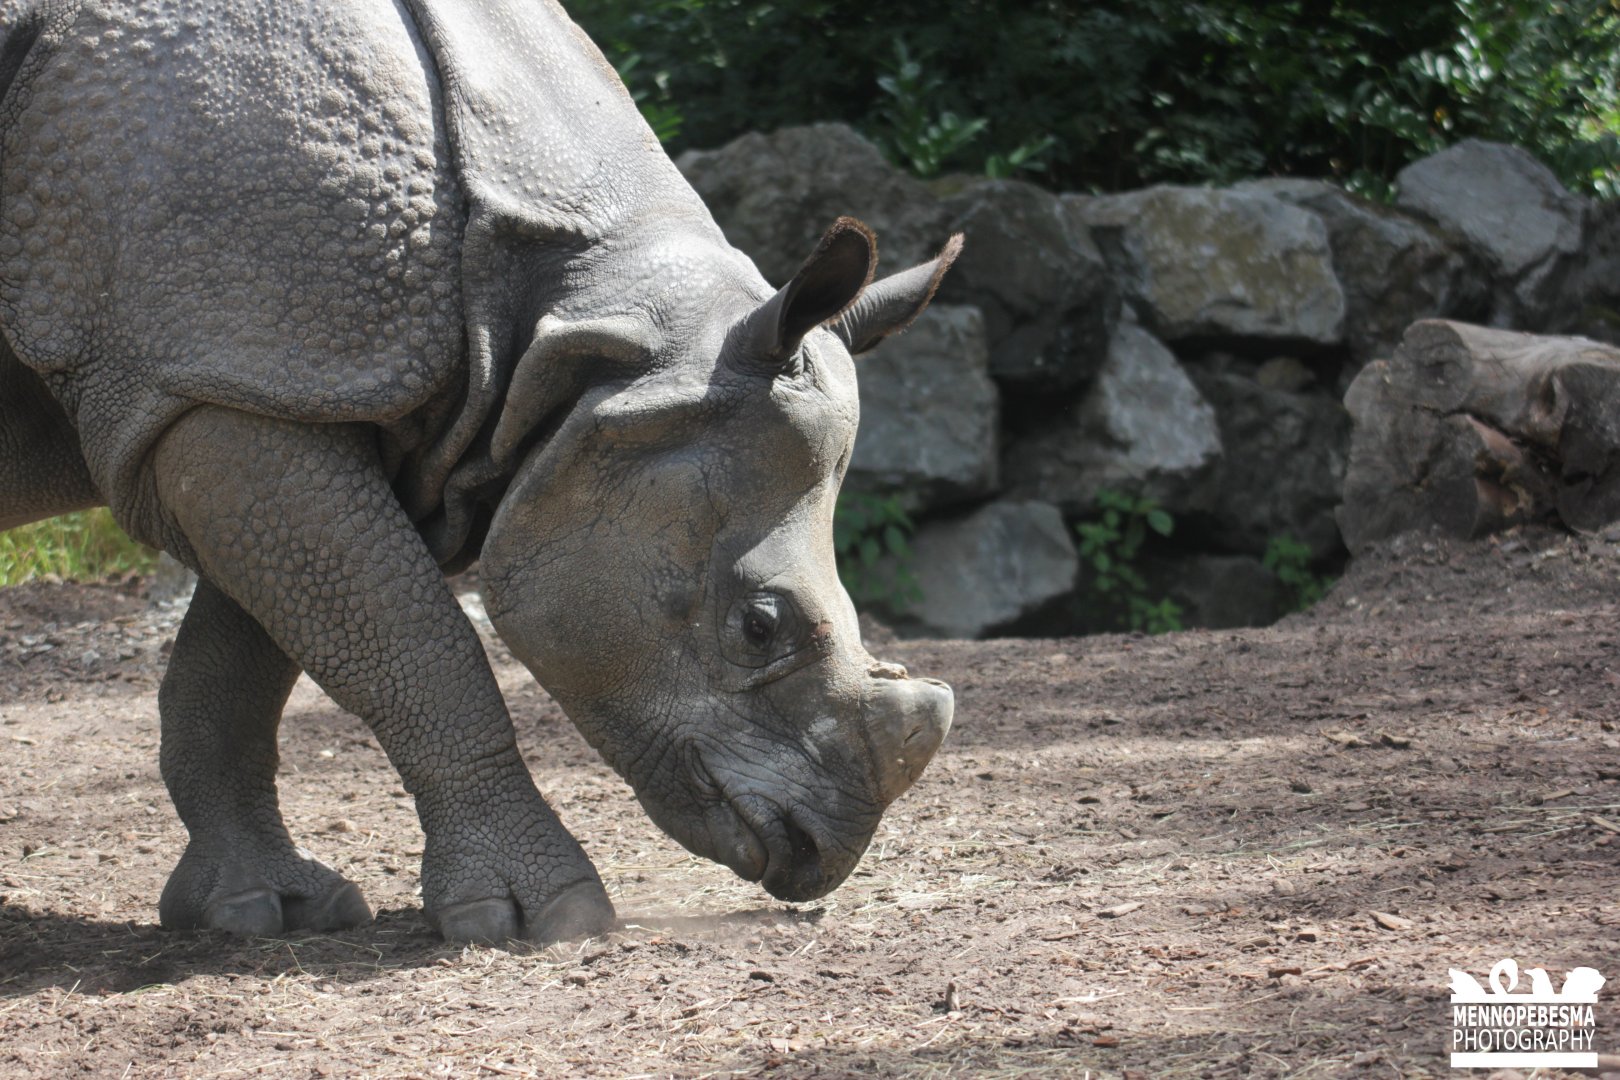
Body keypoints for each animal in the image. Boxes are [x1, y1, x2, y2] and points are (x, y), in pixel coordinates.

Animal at [0, 0, 958, 943]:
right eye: (760, 627)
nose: (823, 850)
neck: (588, 329)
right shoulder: (221, 374)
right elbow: (418, 642)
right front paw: (542, 916)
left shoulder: (258, 381)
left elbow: (238, 670)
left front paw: (262, 912)